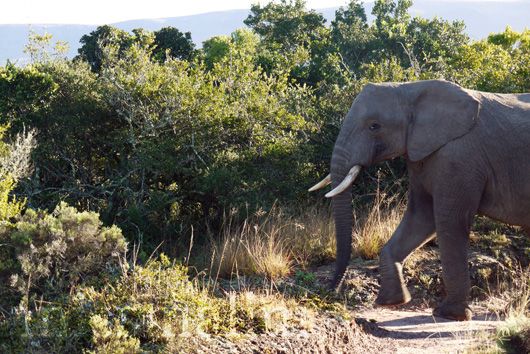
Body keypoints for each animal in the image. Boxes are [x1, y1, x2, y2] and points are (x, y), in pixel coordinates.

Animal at [308, 79, 528, 320]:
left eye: (374, 126)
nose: (330, 291)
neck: (410, 88)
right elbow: (421, 217)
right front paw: (392, 301)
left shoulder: (459, 158)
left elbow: (449, 221)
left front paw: (448, 314)